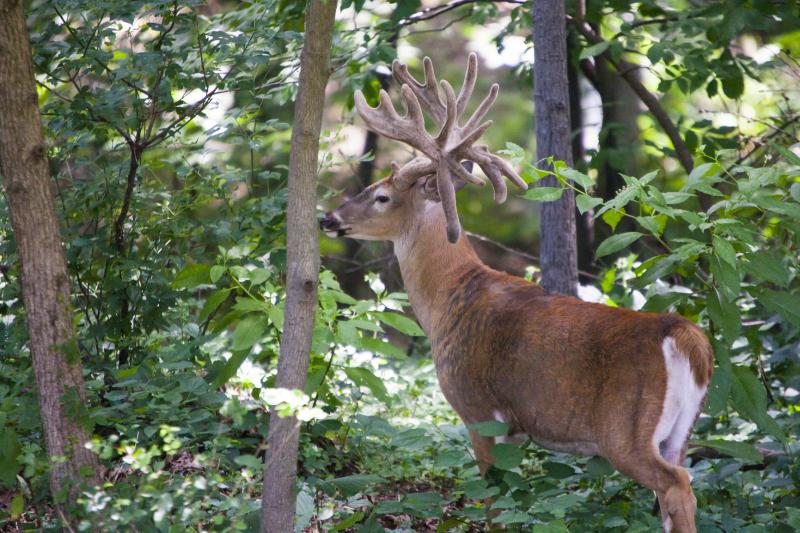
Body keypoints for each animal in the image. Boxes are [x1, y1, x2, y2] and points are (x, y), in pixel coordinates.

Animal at [318, 55, 712, 532]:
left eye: (381, 196)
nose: (327, 219)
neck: (450, 300)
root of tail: (684, 336)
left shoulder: (478, 410)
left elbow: (494, 503)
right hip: (681, 430)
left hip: (624, 430)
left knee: (676, 485)